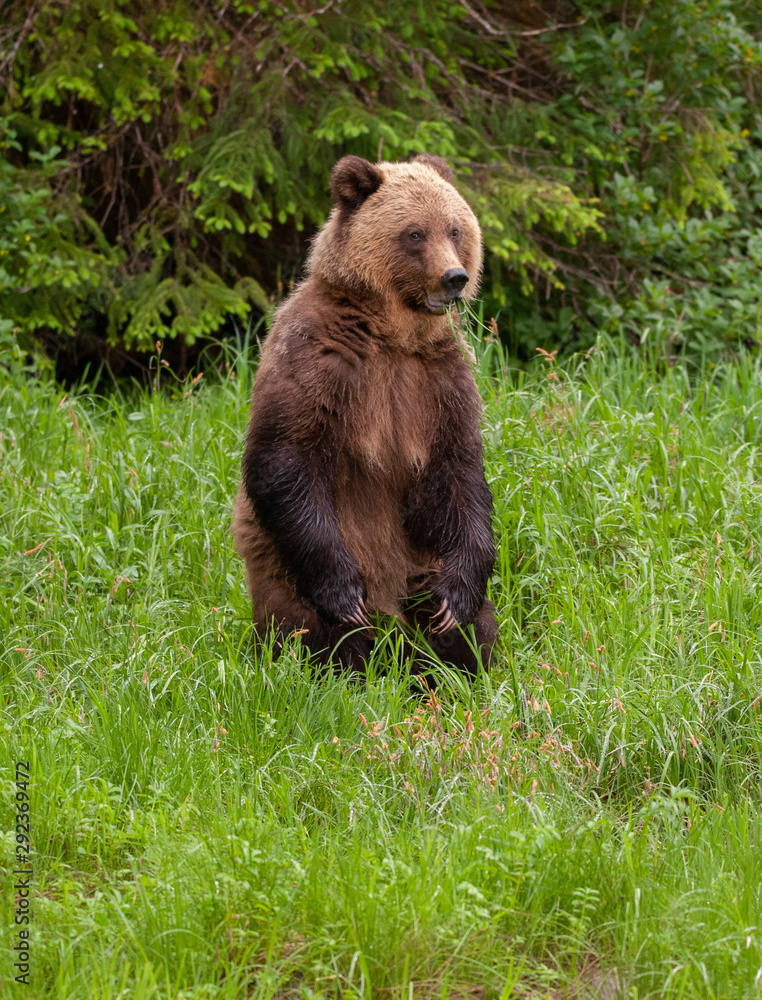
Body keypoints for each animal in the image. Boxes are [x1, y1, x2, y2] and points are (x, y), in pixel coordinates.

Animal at [231, 153, 497, 673]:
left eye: (455, 229)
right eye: (414, 233)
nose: (454, 278)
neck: (392, 333)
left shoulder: (440, 380)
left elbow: (459, 470)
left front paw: (455, 601)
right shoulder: (318, 357)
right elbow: (285, 458)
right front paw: (342, 593)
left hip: (419, 562)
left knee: (466, 628)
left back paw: (452, 665)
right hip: (284, 577)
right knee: (312, 632)